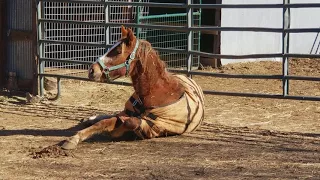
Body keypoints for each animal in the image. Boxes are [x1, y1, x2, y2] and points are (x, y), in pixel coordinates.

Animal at [60, 25, 205, 149]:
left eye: (118, 51)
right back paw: (90, 118)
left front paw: (116, 132)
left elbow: (130, 122)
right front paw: (73, 139)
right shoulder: (127, 114)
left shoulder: (152, 127)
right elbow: (105, 122)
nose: (91, 70)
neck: (160, 93)